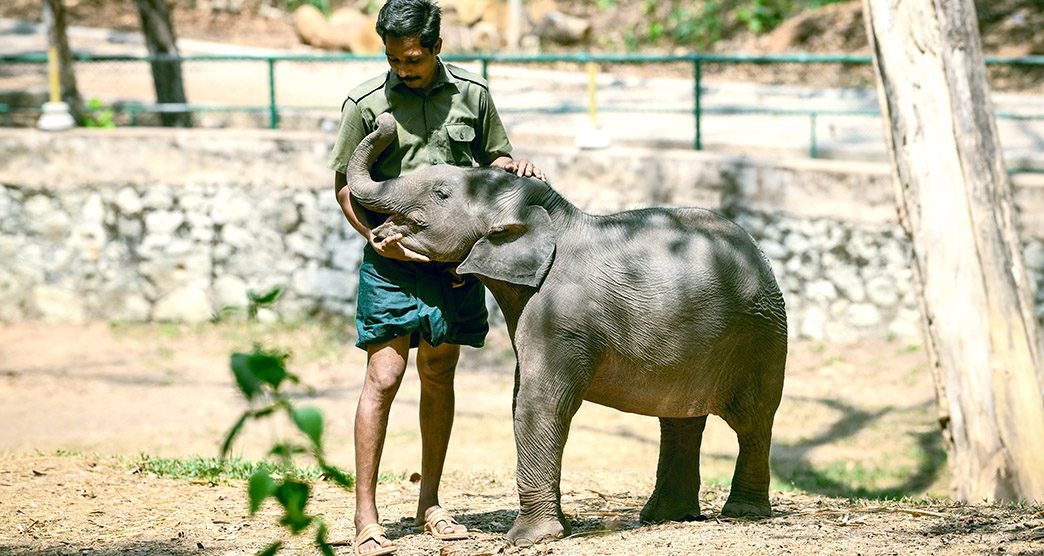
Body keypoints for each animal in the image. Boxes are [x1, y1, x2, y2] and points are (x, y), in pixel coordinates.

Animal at [338, 112, 785, 546]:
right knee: (680, 418)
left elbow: (537, 404)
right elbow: (522, 401)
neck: (551, 215)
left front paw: (526, 540)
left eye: (441, 194)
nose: (383, 121)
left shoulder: (560, 317)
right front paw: (557, 530)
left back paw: (741, 513)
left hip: (760, 334)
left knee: (752, 420)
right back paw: (667, 516)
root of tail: (762, 254)